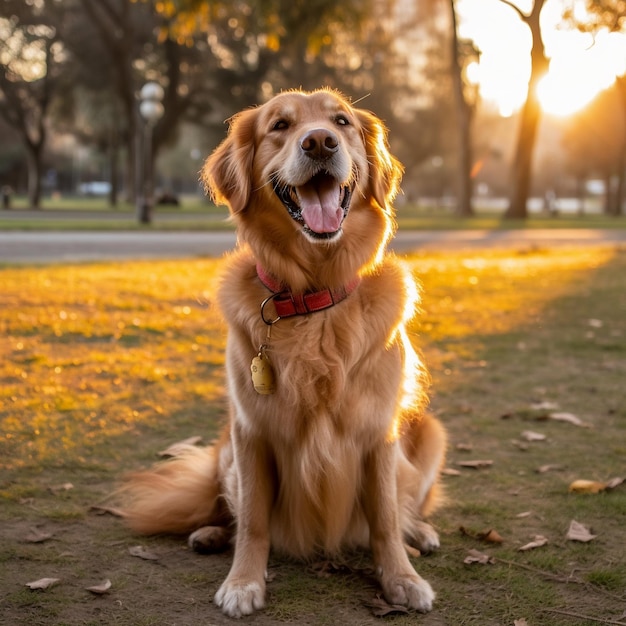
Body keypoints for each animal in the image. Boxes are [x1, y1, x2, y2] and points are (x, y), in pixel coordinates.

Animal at [119, 88, 446, 616]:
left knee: (403, 505)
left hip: (429, 434)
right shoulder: (250, 433)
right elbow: (254, 520)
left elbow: (384, 518)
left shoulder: (378, 435)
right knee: (230, 509)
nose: (319, 142)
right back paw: (211, 533)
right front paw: (243, 582)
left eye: (341, 121)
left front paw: (401, 577)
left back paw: (420, 531)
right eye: (279, 125)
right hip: (226, 454)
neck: (313, 298)